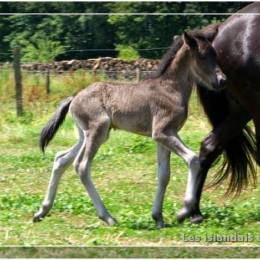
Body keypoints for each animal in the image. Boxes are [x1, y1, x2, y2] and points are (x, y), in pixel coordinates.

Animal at [34, 32, 225, 228]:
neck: (171, 88)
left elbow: (164, 175)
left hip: (85, 135)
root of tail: (74, 97)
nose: (222, 80)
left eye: (215, 54)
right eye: (202, 55)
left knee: (61, 159)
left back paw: (42, 211)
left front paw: (158, 217)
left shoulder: (165, 135)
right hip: (98, 130)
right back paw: (107, 217)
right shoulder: (162, 132)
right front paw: (185, 210)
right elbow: (193, 159)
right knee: (81, 165)